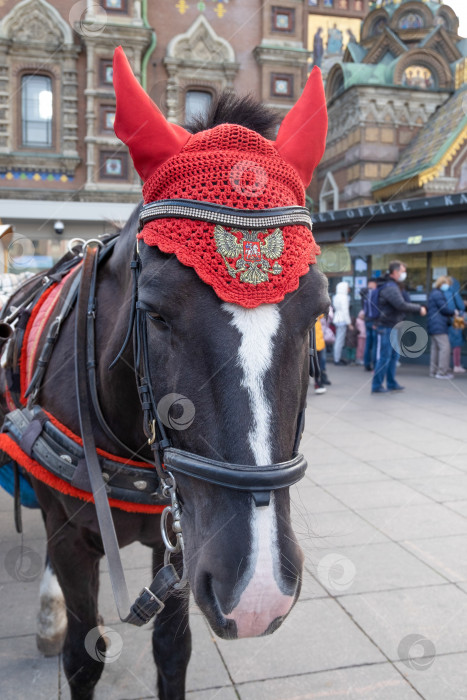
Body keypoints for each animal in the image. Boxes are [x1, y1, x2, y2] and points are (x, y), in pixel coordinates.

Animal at [0, 49, 330, 700]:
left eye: (318, 309)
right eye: (153, 310)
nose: (256, 592)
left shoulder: (177, 542)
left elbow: (172, 650)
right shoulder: (73, 539)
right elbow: (84, 655)